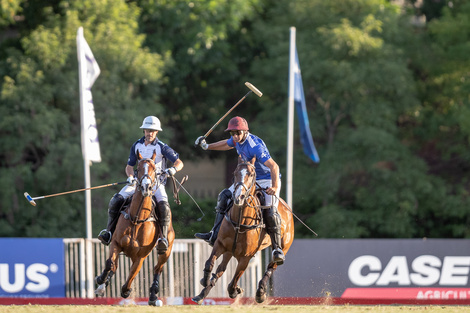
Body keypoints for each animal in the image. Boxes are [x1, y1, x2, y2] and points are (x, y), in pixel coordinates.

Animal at [93, 149, 174, 304]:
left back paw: (153, 297)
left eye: (155, 169)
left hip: (167, 249)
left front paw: (126, 291)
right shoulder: (116, 243)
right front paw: (100, 279)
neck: (137, 218)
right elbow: (110, 263)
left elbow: (131, 276)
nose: (146, 187)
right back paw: (102, 285)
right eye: (138, 169)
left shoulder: (140, 256)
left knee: (158, 268)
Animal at [191, 161, 294, 302]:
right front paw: (204, 282)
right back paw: (202, 294)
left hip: (284, 247)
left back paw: (260, 292)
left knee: (271, 266)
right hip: (229, 251)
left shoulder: (246, 257)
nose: (238, 197)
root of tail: (288, 208)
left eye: (251, 174)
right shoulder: (220, 244)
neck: (240, 222)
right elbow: (209, 263)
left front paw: (236, 291)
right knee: (221, 269)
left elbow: (234, 280)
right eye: (235, 173)